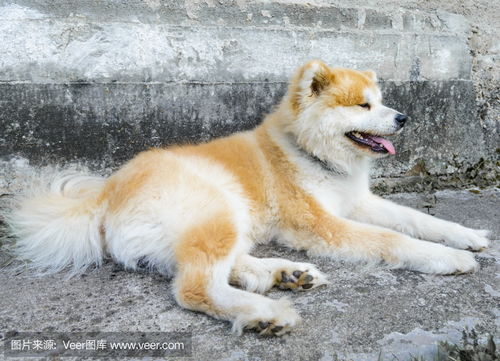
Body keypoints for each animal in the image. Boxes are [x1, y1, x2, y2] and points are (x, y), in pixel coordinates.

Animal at [5, 59, 490, 334]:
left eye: (382, 101)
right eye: (362, 105)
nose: (404, 118)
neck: (312, 153)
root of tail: (106, 193)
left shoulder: (358, 203)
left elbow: (417, 220)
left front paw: (465, 236)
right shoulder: (322, 223)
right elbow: (394, 239)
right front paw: (447, 258)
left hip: (219, 218)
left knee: (215, 266)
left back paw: (284, 274)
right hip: (217, 205)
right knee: (194, 286)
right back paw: (265, 312)